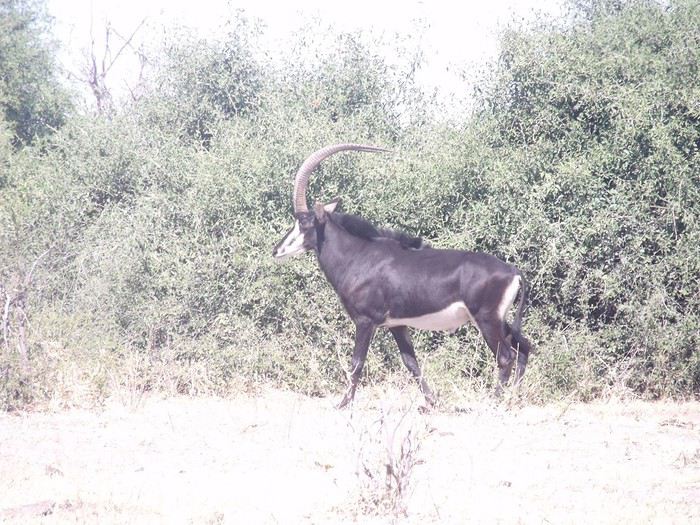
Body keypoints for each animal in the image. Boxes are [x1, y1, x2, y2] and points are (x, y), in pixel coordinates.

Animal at [274, 144, 532, 410]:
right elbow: (411, 362)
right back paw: (513, 397)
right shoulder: (397, 325)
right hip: (499, 319)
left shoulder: (365, 322)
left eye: (304, 223)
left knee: (506, 357)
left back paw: (495, 401)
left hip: (486, 320)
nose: (277, 251)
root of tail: (513, 271)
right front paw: (430, 402)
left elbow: (357, 362)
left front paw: (343, 404)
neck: (358, 255)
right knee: (524, 348)